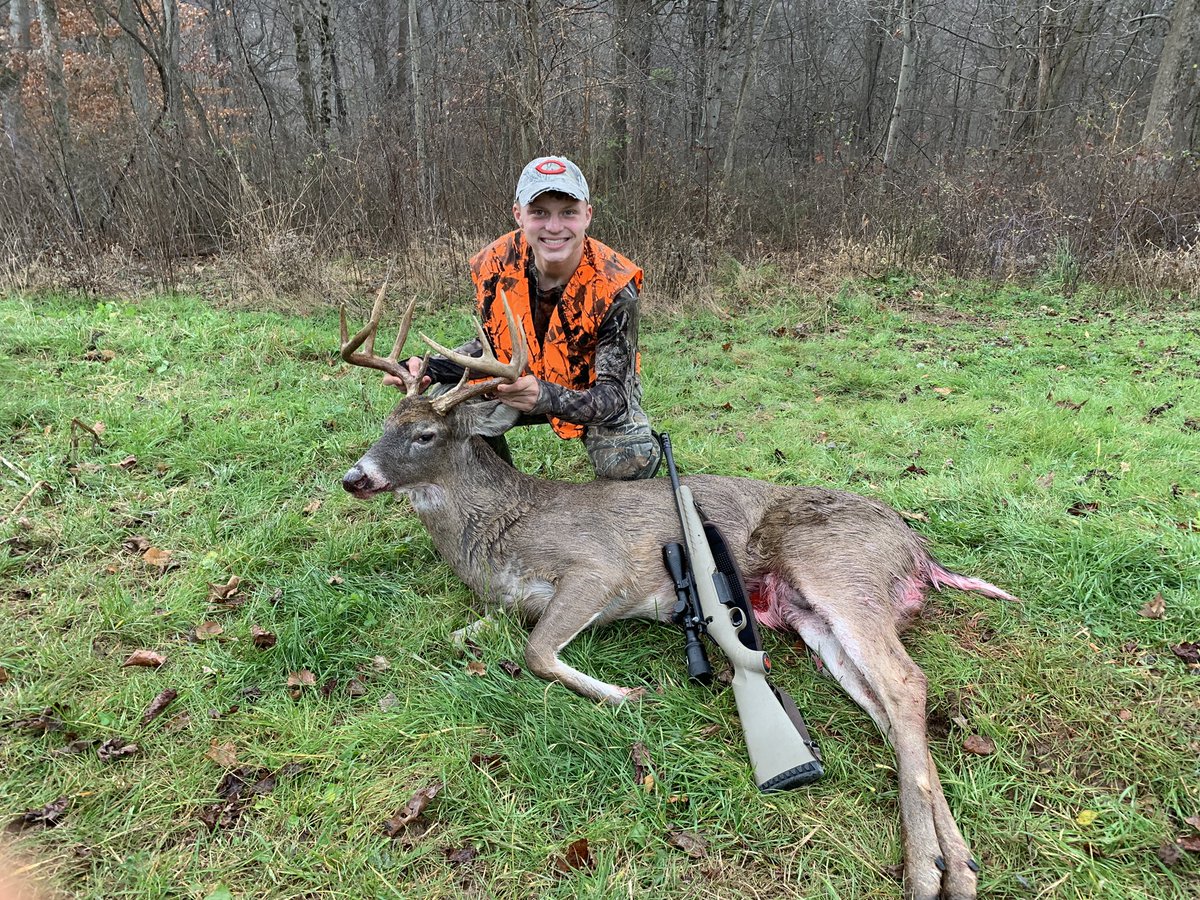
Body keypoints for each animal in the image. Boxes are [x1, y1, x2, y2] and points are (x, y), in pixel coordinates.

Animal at [337, 288, 1018, 900]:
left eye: (425, 434)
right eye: (383, 426)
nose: (353, 477)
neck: (497, 533)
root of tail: (919, 551)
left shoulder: (598, 570)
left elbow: (537, 652)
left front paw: (627, 695)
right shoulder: (502, 605)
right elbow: (458, 639)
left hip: (839, 572)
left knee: (904, 682)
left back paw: (927, 872)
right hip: (811, 616)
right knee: (886, 708)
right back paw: (958, 865)